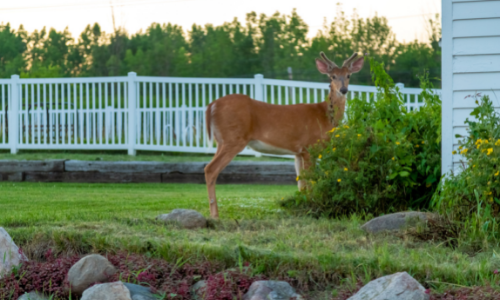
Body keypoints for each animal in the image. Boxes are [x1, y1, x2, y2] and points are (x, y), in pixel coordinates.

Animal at [203, 52, 364, 218]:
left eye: (348, 75)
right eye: (332, 76)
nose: (343, 90)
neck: (325, 115)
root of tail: (212, 105)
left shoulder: (298, 152)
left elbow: (301, 184)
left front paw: (302, 208)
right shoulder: (310, 147)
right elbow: (309, 181)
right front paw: (312, 208)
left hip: (221, 140)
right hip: (234, 138)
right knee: (210, 169)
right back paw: (215, 215)